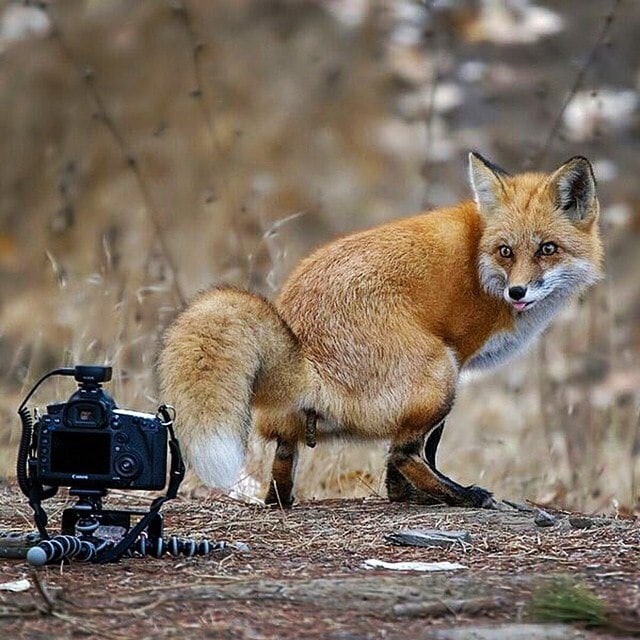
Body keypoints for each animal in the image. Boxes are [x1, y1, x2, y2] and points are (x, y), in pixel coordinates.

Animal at [158, 152, 604, 508]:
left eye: (547, 249)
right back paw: (464, 496)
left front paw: (402, 495)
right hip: (438, 374)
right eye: (506, 251)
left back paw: (282, 500)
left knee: (285, 459)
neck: (480, 263)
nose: (517, 291)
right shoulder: (458, 356)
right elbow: (424, 449)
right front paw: (416, 493)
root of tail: (307, 358)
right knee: (403, 452)